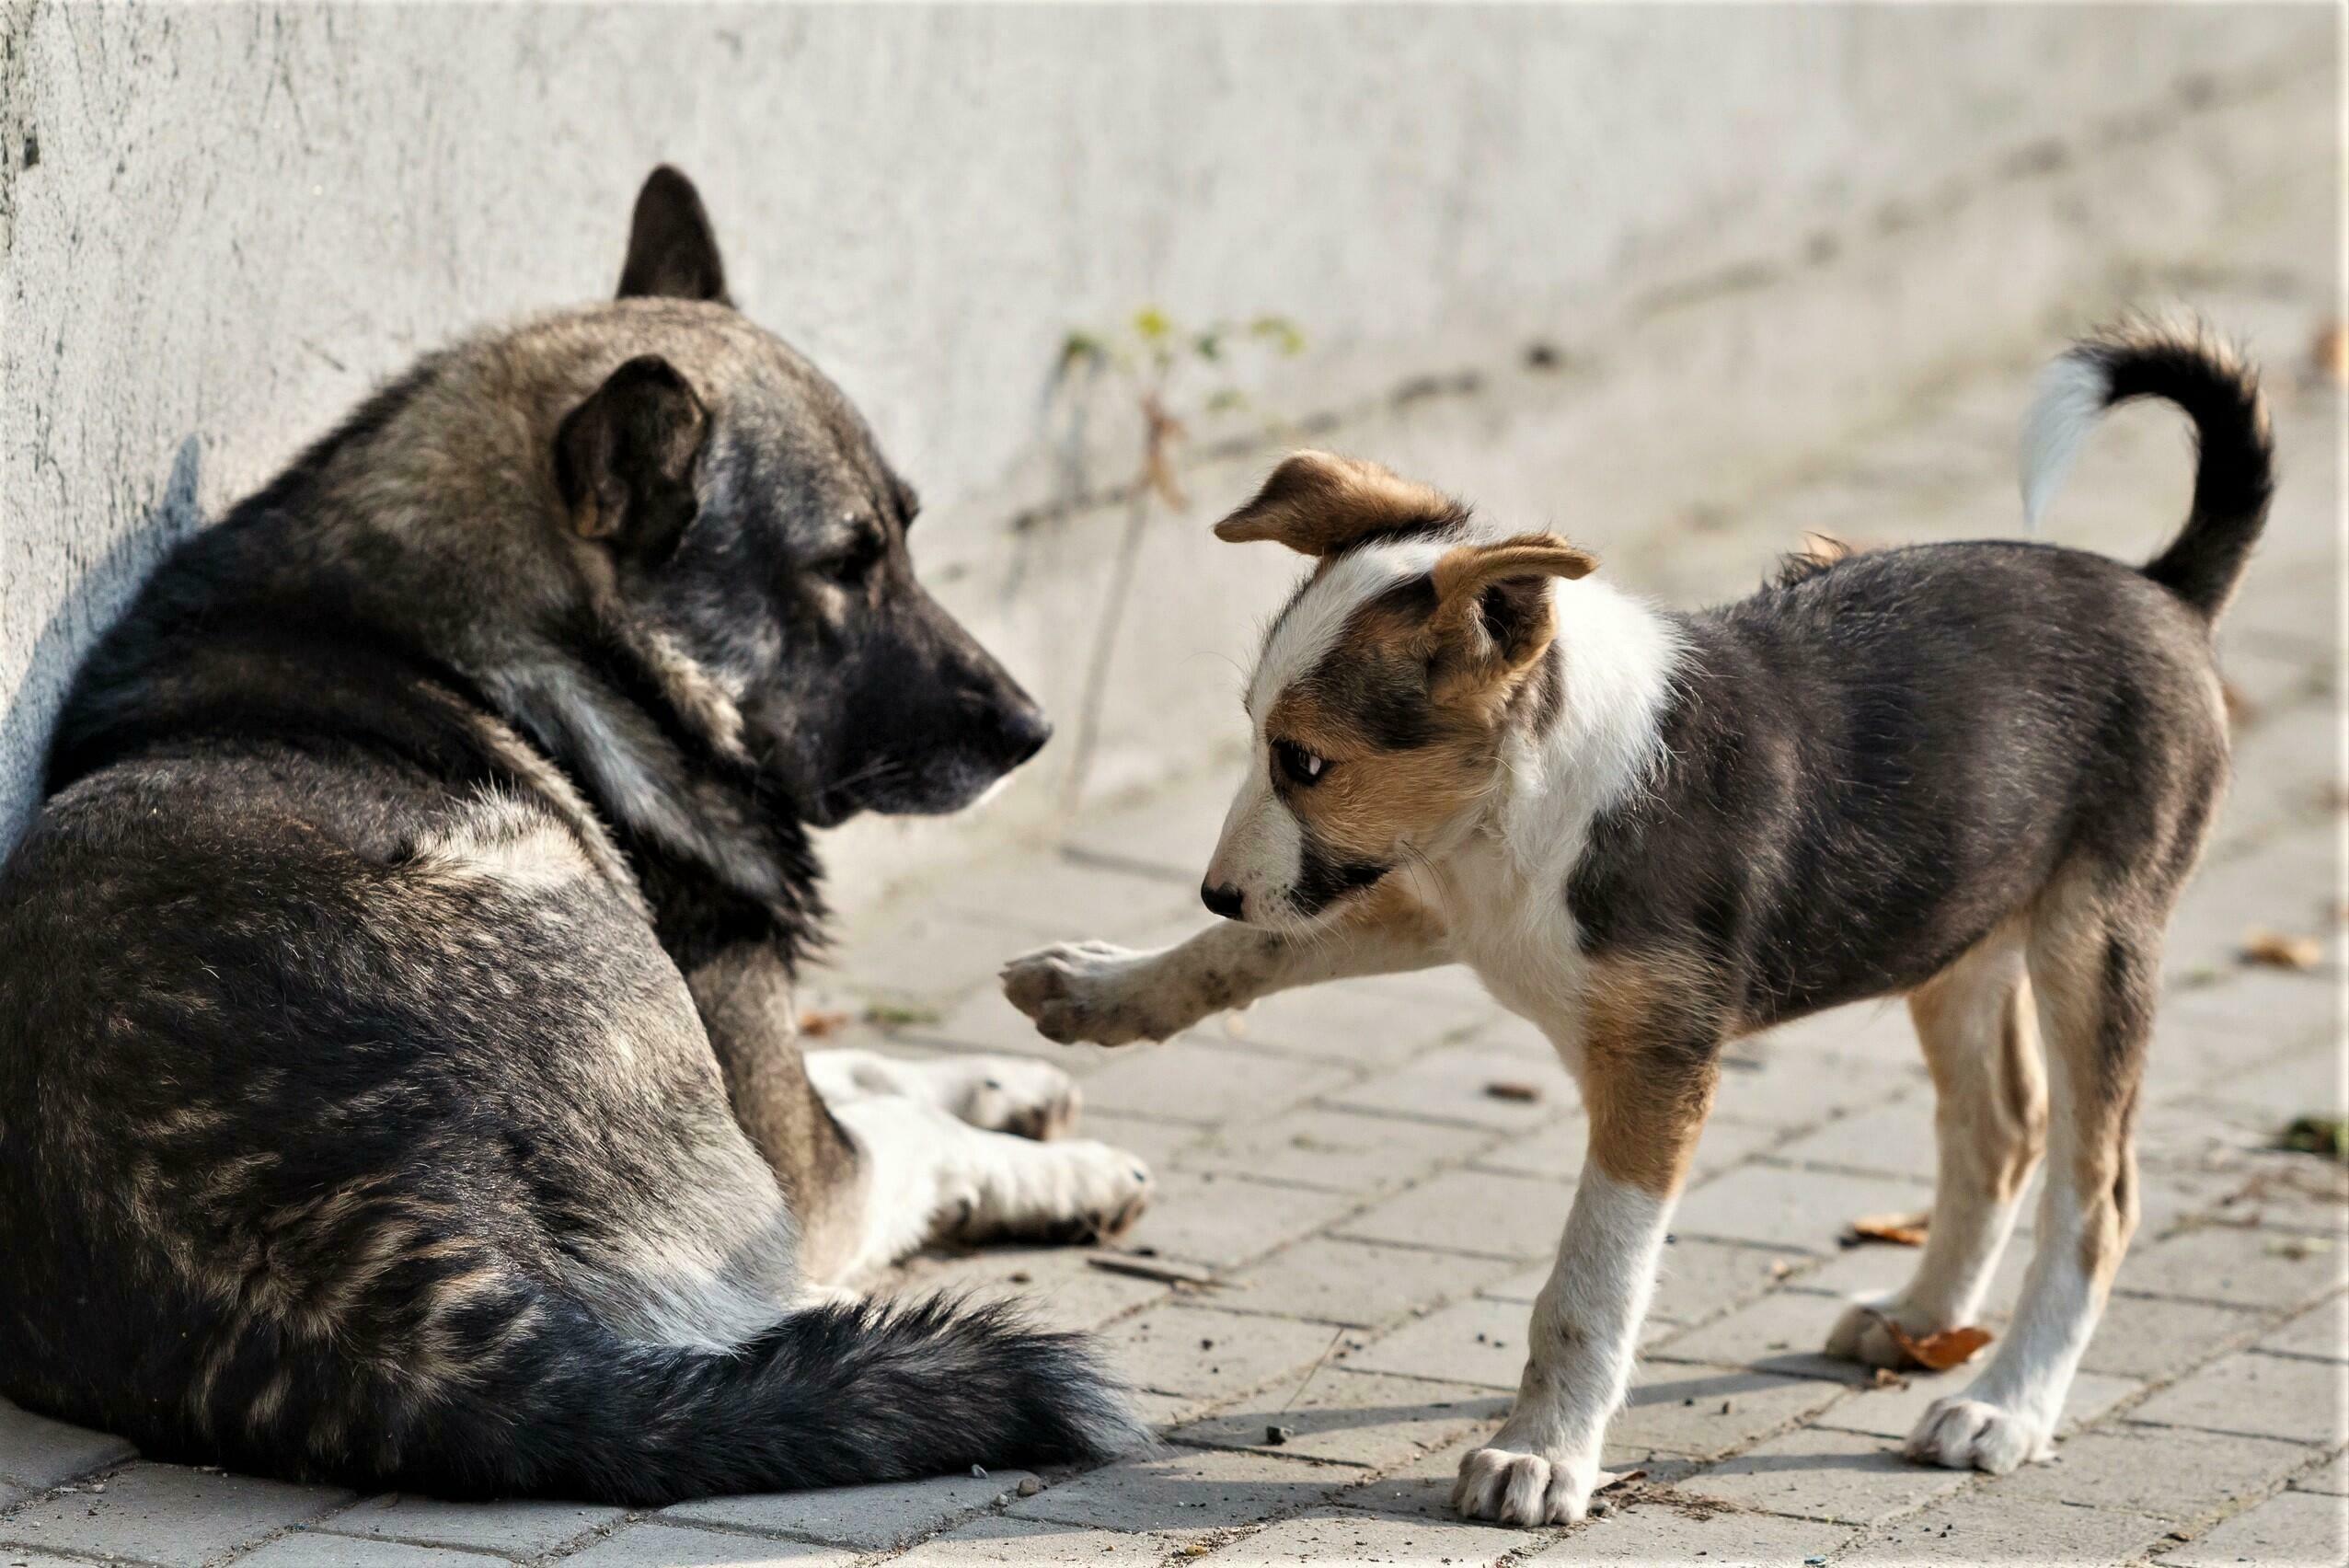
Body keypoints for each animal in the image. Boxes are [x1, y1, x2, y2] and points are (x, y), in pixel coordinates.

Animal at [0, 166, 1156, 1505]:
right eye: (844, 564)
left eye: (907, 534)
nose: (1031, 729)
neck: (545, 636)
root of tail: (360, 1290)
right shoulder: (796, 1160)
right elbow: (888, 1124)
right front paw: (1055, 1166)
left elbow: (870, 1067)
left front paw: (1011, 1083)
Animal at [1009, 324, 2274, 1523]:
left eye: (1306, 762)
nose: (1215, 886)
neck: (1527, 806)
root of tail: (2164, 589)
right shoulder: (1437, 900)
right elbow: (1252, 949)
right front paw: (1099, 988)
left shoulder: (1657, 1066)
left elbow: (1589, 1284)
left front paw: (1541, 1458)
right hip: (1953, 922)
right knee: (2001, 1129)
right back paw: (1919, 1320)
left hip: (2094, 942)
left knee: (2096, 1194)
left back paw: (2004, 1405)